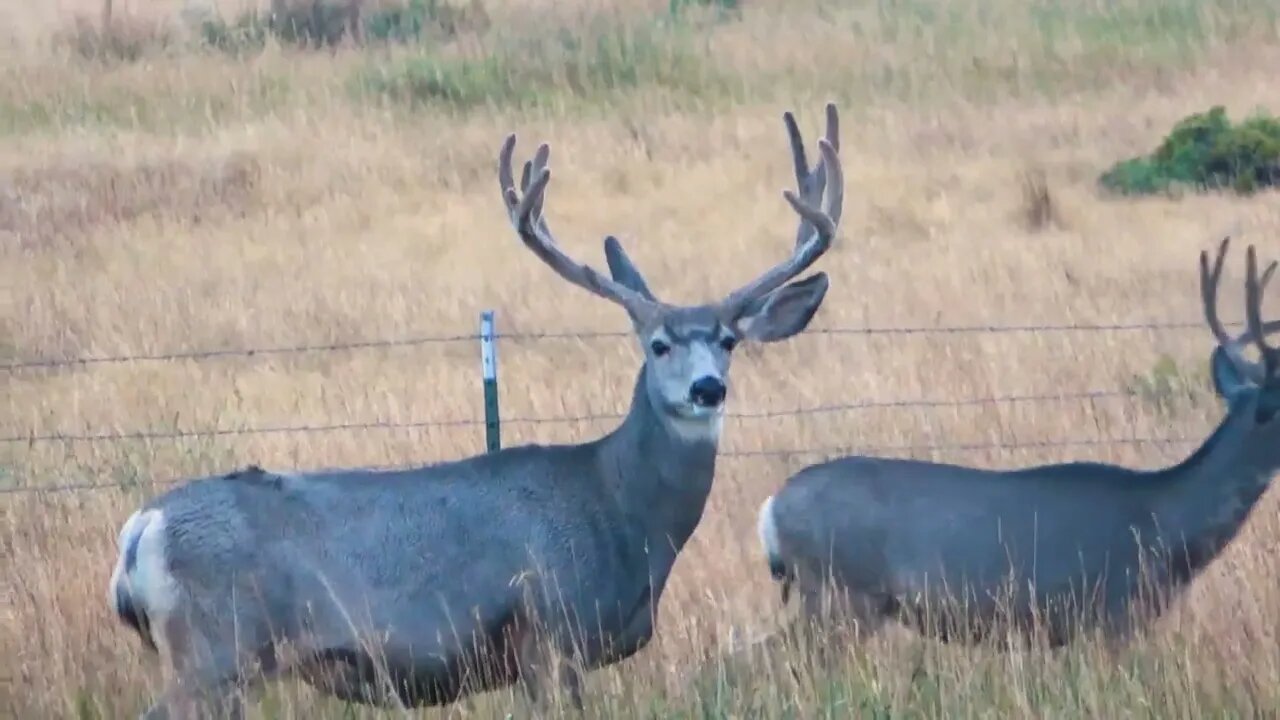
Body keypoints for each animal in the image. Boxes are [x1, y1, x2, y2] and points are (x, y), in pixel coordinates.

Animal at [110, 103, 844, 712]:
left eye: (728, 341)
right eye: (659, 344)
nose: (707, 389)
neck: (618, 510)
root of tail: (143, 527)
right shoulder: (550, 632)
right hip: (216, 648)